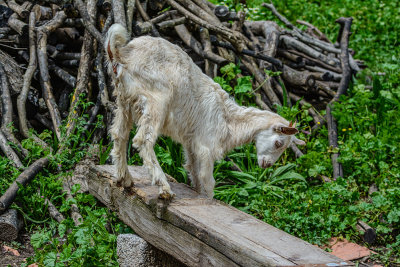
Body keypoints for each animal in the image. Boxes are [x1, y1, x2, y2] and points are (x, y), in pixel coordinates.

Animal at [104, 24, 304, 199]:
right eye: (279, 143)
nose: (266, 164)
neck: (228, 118)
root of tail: (122, 54)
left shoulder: (192, 145)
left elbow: (195, 176)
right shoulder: (206, 147)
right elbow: (208, 182)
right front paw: (208, 199)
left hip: (125, 101)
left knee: (119, 134)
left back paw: (124, 179)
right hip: (156, 99)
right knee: (143, 140)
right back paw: (164, 188)